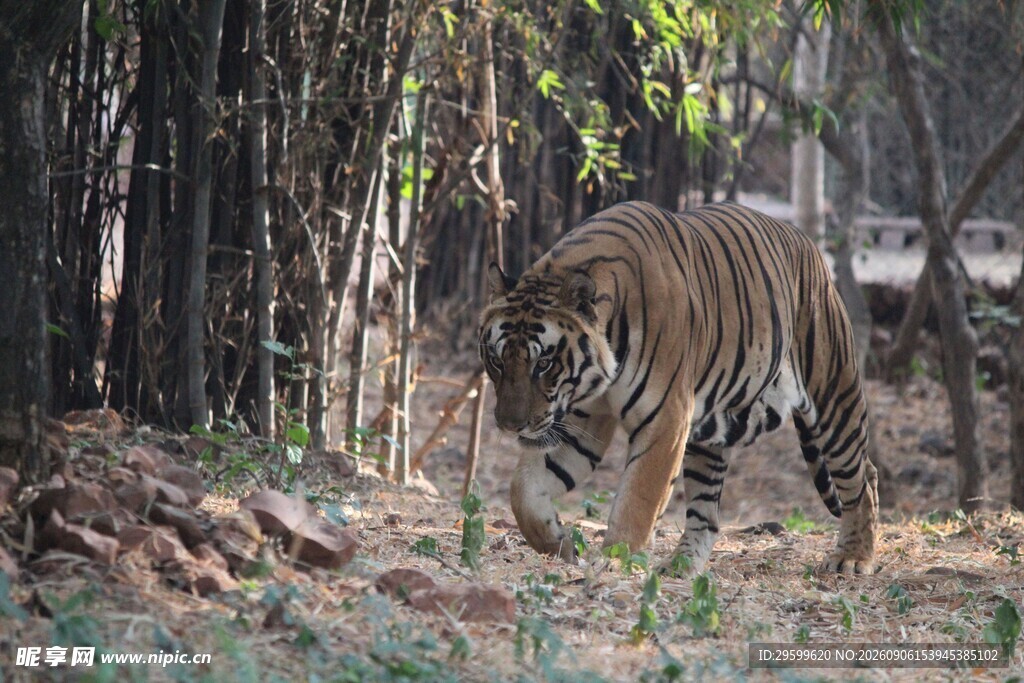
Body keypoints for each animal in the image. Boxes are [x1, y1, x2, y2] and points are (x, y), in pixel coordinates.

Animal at [478, 200, 878, 576]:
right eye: (496, 360)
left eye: (543, 363)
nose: (511, 425)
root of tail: (808, 244)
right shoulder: (581, 421)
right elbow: (523, 491)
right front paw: (559, 543)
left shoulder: (665, 421)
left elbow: (638, 499)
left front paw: (613, 560)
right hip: (714, 430)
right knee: (706, 514)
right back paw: (682, 566)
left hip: (835, 399)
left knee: (863, 478)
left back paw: (853, 557)